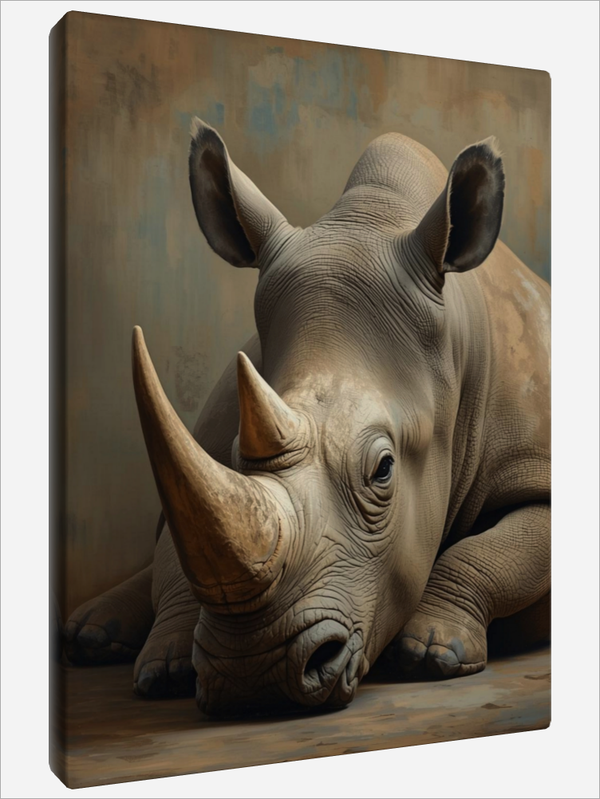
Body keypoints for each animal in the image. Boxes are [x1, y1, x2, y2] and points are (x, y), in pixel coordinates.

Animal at [64, 118, 550, 716]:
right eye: (234, 453)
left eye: (383, 469)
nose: (254, 676)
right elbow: (182, 544)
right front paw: (163, 668)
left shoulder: (535, 464)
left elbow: (497, 552)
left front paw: (431, 653)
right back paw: (93, 636)